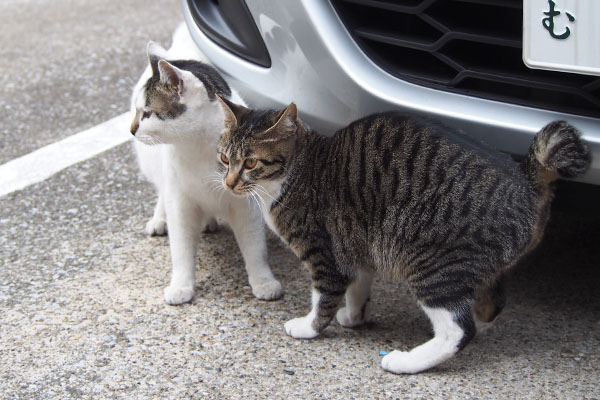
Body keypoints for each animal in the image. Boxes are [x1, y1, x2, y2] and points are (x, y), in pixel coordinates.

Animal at [129, 23, 284, 304]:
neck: (197, 148)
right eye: (138, 112)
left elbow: (254, 248)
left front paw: (263, 281)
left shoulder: (245, 206)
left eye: (147, 114)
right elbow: (181, 250)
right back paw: (160, 219)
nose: (132, 129)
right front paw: (181, 286)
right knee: (161, 191)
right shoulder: (180, 204)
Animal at [213, 97, 588, 376]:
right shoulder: (356, 246)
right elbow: (358, 288)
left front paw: (309, 328)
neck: (297, 169)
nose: (229, 183)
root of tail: (527, 179)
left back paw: (406, 361)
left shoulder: (324, 253)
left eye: (251, 162)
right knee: (490, 306)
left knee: (458, 329)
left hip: (430, 263)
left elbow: (325, 297)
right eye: (224, 157)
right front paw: (353, 317)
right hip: (478, 267)